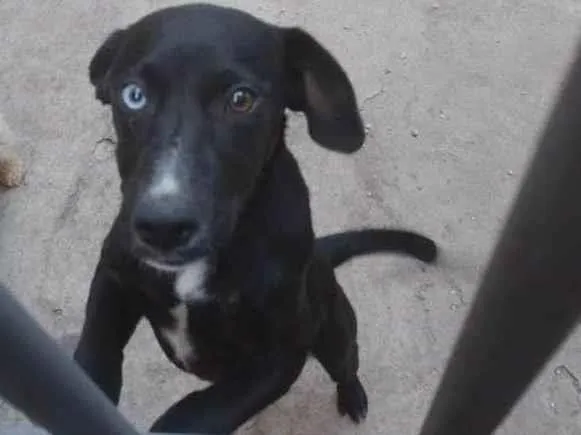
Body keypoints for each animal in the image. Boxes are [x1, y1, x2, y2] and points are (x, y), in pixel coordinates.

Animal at [73, 4, 438, 433]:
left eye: (241, 99)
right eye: (133, 95)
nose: (162, 228)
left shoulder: (279, 358)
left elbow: (196, 414)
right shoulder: (114, 277)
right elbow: (92, 359)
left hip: (335, 330)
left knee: (346, 365)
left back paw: (352, 397)